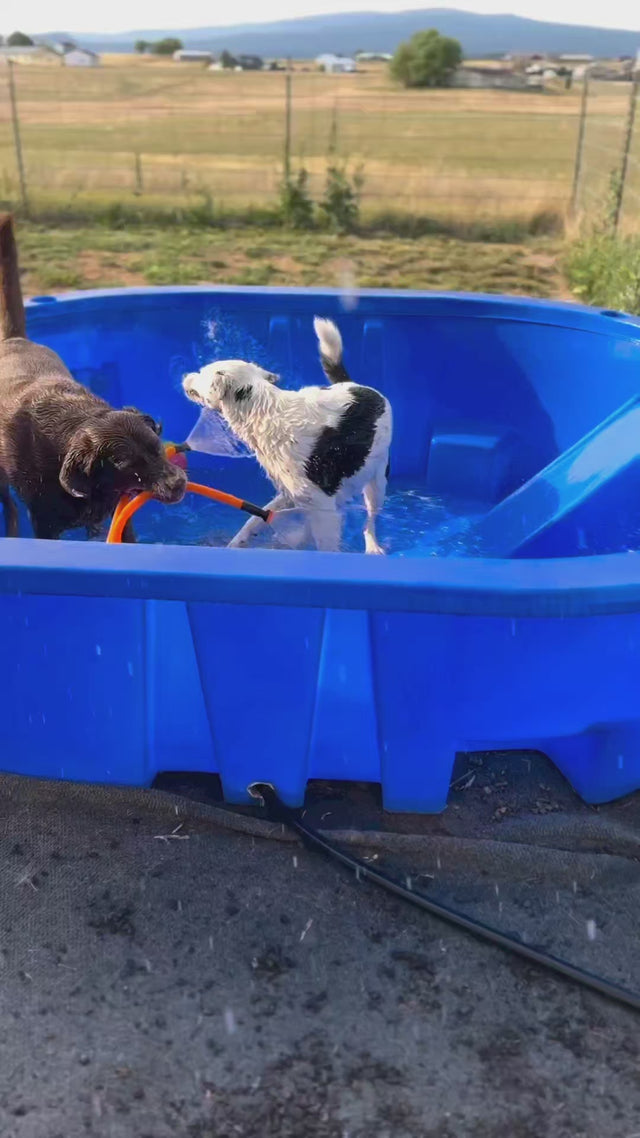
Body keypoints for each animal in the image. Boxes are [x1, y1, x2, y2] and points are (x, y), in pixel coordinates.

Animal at [0, 218, 185, 546]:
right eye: (128, 465)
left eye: (156, 446)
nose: (178, 485)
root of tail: (14, 339)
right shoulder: (44, 524)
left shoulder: (121, 514)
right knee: (8, 505)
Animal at [179, 318, 389, 553]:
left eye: (201, 373)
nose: (185, 376)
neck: (263, 412)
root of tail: (357, 385)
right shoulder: (295, 495)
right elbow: (254, 520)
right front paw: (236, 543)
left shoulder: (324, 509)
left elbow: (326, 544)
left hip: (377, 480)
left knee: (370, 519)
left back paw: (372, 545)